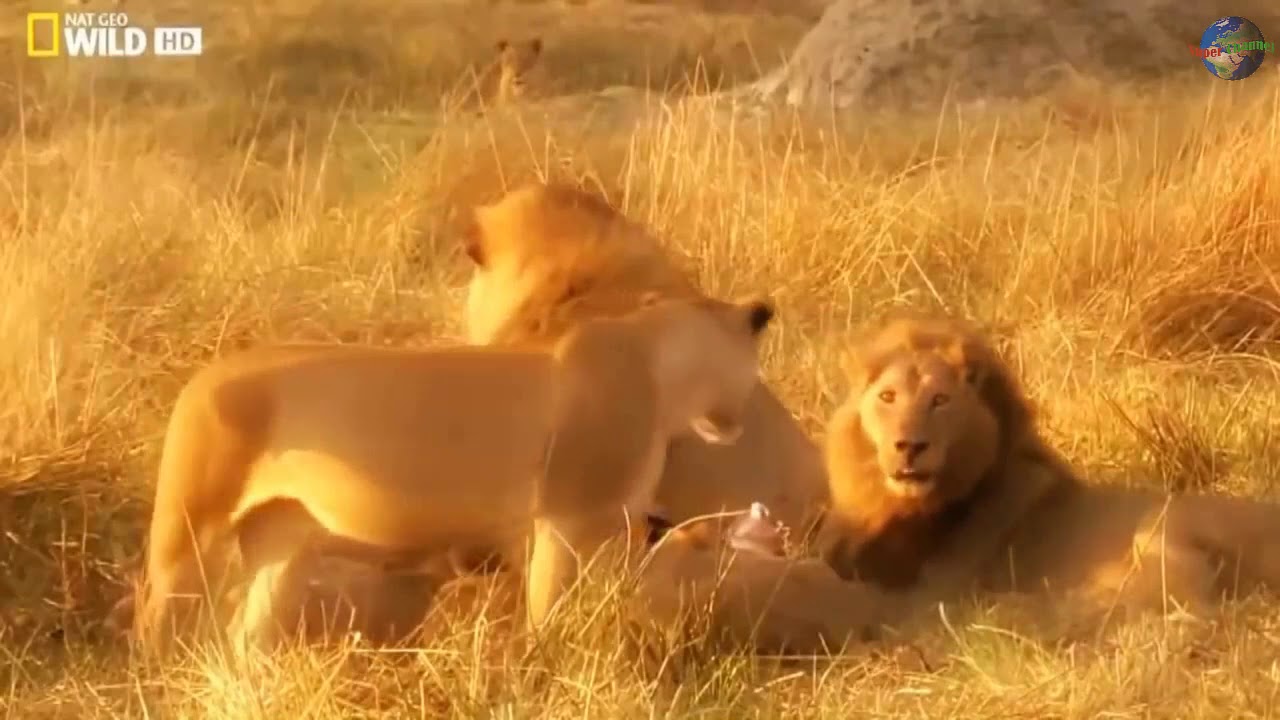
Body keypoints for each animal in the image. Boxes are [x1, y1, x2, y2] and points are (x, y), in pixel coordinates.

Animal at [134, 293, 775, 653]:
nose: (740, 421)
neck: (666, 369)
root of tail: (197, 380)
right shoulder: (565, 521)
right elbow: (550, 612)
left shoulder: (609, 529)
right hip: (189, 533)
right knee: (154, 619)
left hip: (280, 540)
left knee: (244, 636)